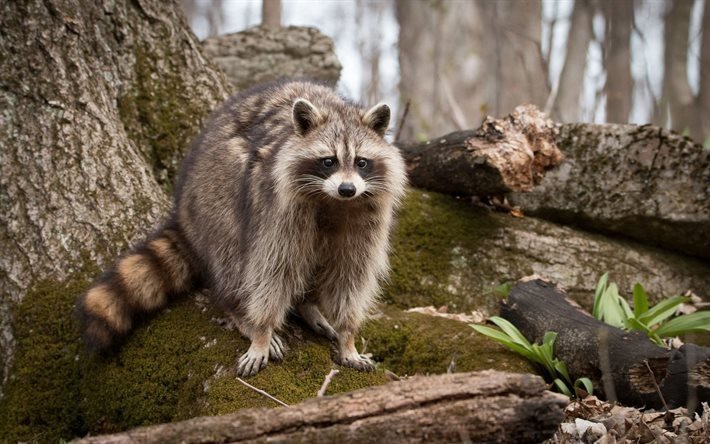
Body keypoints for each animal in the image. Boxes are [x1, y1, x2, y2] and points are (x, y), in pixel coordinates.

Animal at [75, 80, 408, 374]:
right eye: (328, 161)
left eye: (362, 162)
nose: (347, 189)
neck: (332, 201)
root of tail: (183, 208)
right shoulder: (278, 210)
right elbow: (271, 271)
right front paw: (261, 330)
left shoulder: (366, 220)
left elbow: (351, 276)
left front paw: (347, 336)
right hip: (217, 194)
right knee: (232, 257)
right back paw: (239, 310)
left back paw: (308, 306)